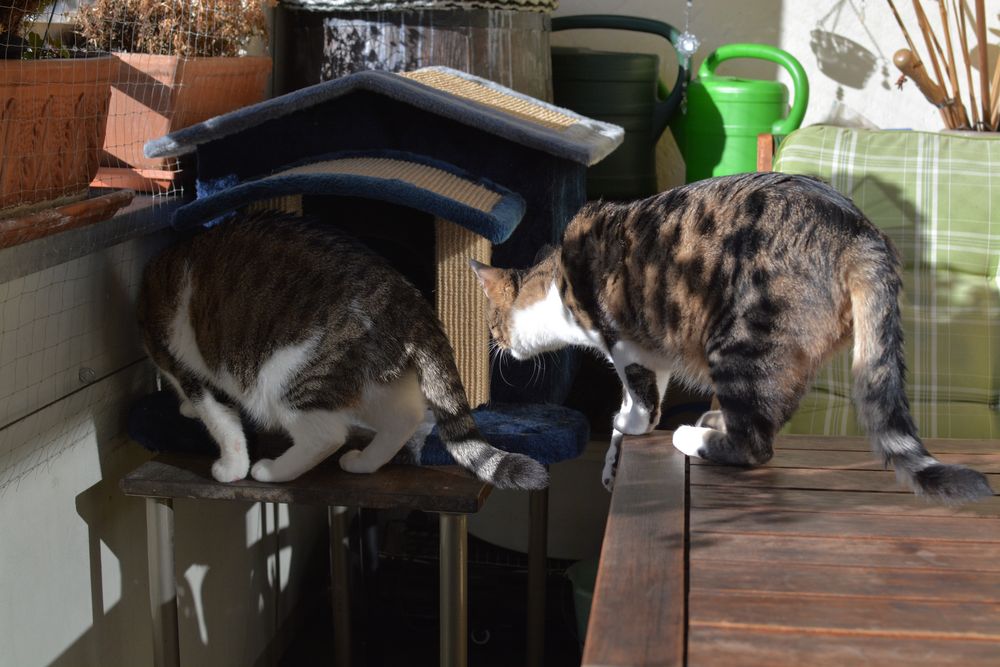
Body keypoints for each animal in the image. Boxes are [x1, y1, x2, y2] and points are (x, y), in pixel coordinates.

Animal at [136, 210, 548, 490]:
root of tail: (408, 300)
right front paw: (189, 410)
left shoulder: (184, 365)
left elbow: (222, 423)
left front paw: (230, 467)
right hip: (373, 381)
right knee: (406, 418)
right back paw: (364, 463)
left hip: (286, 377)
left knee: (326, 435)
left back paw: (272, 471)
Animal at [474, 171, 992, 500]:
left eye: (493, 324)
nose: (495, 344)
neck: (555, 286)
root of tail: (858, 230)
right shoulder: (652, 353)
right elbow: (636, 400)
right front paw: (614, 456)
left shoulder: (625, 343)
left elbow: (642, 403)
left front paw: (630, 427)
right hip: (780, 354)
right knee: (768, 412)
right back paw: (714, 421)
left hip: (741, 342)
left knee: (756, 443)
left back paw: (694, 437)